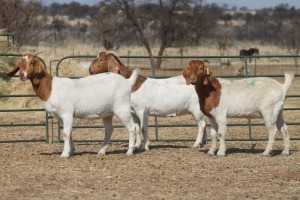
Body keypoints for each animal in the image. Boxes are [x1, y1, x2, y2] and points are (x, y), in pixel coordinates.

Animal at [5, 54, 139, 158]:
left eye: (32, 62)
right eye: (19, 63)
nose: (22, 75)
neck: (50, 87)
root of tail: (127, 82)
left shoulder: (67, 113)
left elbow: (65, 133)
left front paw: (64, 154)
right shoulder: (60, 116)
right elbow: (69, 133)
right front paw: (71, 150)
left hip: (122, 108)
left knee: (132, 127)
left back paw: (129, 151)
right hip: (107, 112)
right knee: (109, 129)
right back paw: (102, 151)